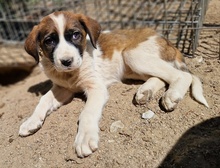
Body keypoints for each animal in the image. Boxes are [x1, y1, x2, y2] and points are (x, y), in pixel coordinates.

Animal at [18, 11, 208, 158]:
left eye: (75, 35)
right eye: (49, 41)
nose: (66, 61)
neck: (70, 74)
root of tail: (168, 42)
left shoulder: (96, 88)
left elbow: (87, 113)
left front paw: (85, 138)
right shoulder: (63, 88)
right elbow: (43, 99)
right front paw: (31, 121)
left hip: (132, 54)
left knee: (182, 75)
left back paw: (172, 95)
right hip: (131, 66)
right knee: (161, 77)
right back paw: (145, 91)